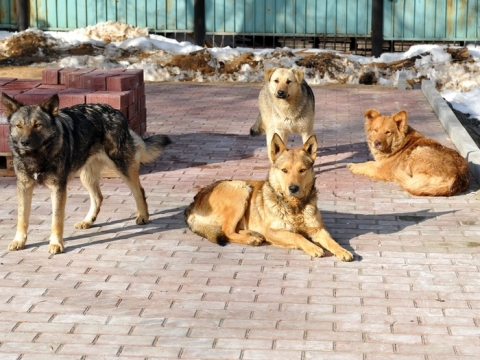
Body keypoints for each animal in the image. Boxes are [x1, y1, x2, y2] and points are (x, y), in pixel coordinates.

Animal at [1, 93, 171, 256]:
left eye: (37, 125)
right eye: (19, 126)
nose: (24, 142)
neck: (37, 157)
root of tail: (115, 111)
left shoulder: (58, 189)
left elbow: (56, 220)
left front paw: (56, 244)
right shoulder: (24, 187)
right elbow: (22, 218)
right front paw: (19, 241)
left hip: (123, 169)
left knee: (139, 191)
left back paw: (143, 216)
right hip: (86, 177)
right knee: (98, 197)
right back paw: (88, 221)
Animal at [186, 134, 354, 260]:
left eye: (302, 170)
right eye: (284, 170)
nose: (293, 188)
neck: (294, 206)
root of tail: (192, 203)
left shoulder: (318, 229)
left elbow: (331, 241)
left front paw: (342, 250)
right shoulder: (274, 231)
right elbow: (297, 236)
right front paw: (313, 247)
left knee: (231, 230)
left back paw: (252, 234)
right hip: (241, 189)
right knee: (227, 232)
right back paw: (251, 239)